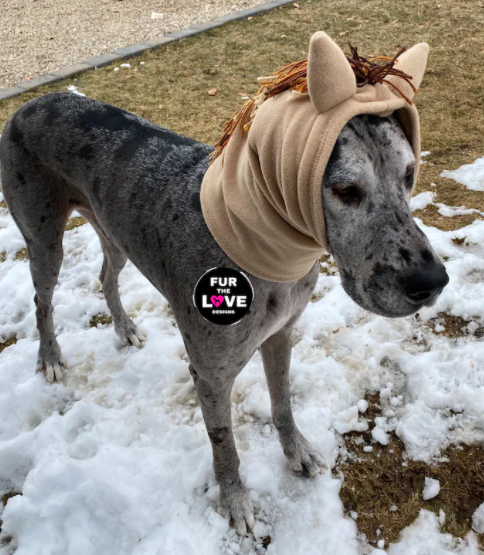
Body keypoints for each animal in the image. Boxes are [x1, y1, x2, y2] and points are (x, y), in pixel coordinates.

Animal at [0, 90, 448, 536]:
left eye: (409, 174)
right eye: (345, 190)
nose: (432, 281)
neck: (267, 248)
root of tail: (33, 102)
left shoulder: (281, 334)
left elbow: (283, 403)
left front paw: (297, 452)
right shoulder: (211, 376)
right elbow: (224, 444)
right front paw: (235, 500)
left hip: (113, 234)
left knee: (106, 276)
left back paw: (125, 329)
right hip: (44, 241)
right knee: (43, 301)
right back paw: (50, 356)